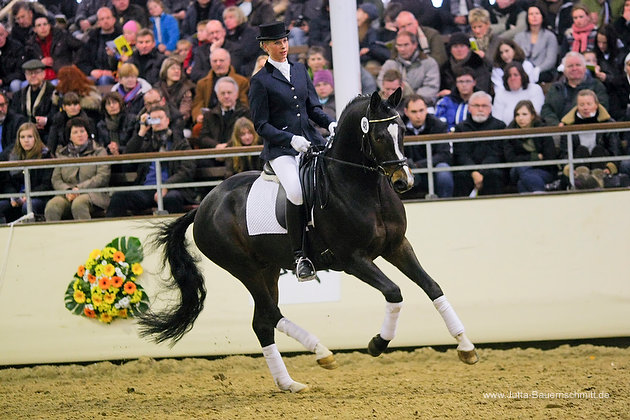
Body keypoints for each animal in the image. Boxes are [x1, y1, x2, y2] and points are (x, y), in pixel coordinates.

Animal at [142, 89, 478, 394]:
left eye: (404, 131)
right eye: (380, 136)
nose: (404, 182)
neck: (363, 188)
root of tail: (203, 205)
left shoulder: (397, 246)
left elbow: (432, 287)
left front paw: (466, 347)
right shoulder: (353, 259)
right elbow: (394, 292)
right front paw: (377, 343)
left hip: (267, 269)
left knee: (262, 321)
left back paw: (289, 383)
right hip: (244, 268)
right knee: (271, 314)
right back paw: (322, 352)